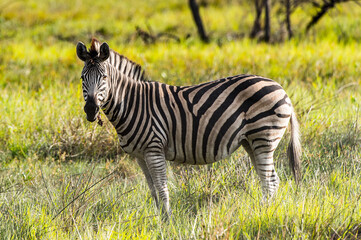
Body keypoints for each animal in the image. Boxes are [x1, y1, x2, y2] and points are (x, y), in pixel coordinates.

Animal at [76, 38, 300, 218]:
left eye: (104, 77)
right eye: (82, 78)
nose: (91, 109)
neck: (133, 103)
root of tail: (282, 89)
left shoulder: (154, 150)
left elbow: (162, 188)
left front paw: (167, 222)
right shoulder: (139, 156)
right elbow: (153, 191)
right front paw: (158, 219)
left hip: (264, 137)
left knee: (269, 181)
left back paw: (265, 214)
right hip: (251, 142)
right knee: (270, 179)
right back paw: (264, 211)